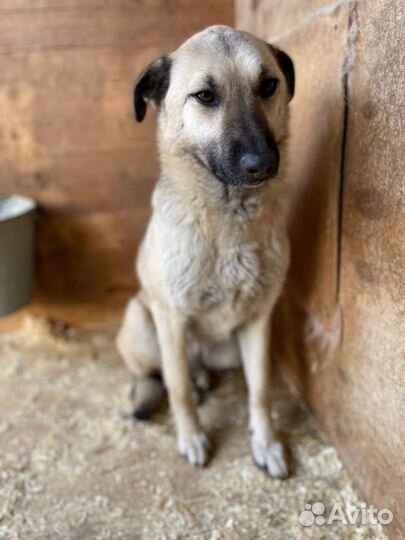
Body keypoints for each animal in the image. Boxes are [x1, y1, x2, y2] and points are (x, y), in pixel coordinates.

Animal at [117, 27, 294, 478]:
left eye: (269, 85)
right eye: (205, 96)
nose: (262, 163)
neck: (228, 227)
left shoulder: (258, 321)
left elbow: (260, 389)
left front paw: (265, 443)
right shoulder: (171, 317)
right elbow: (176, 387)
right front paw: (192, 437)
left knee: (192, 369)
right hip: (142, 320)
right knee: (156, 373)